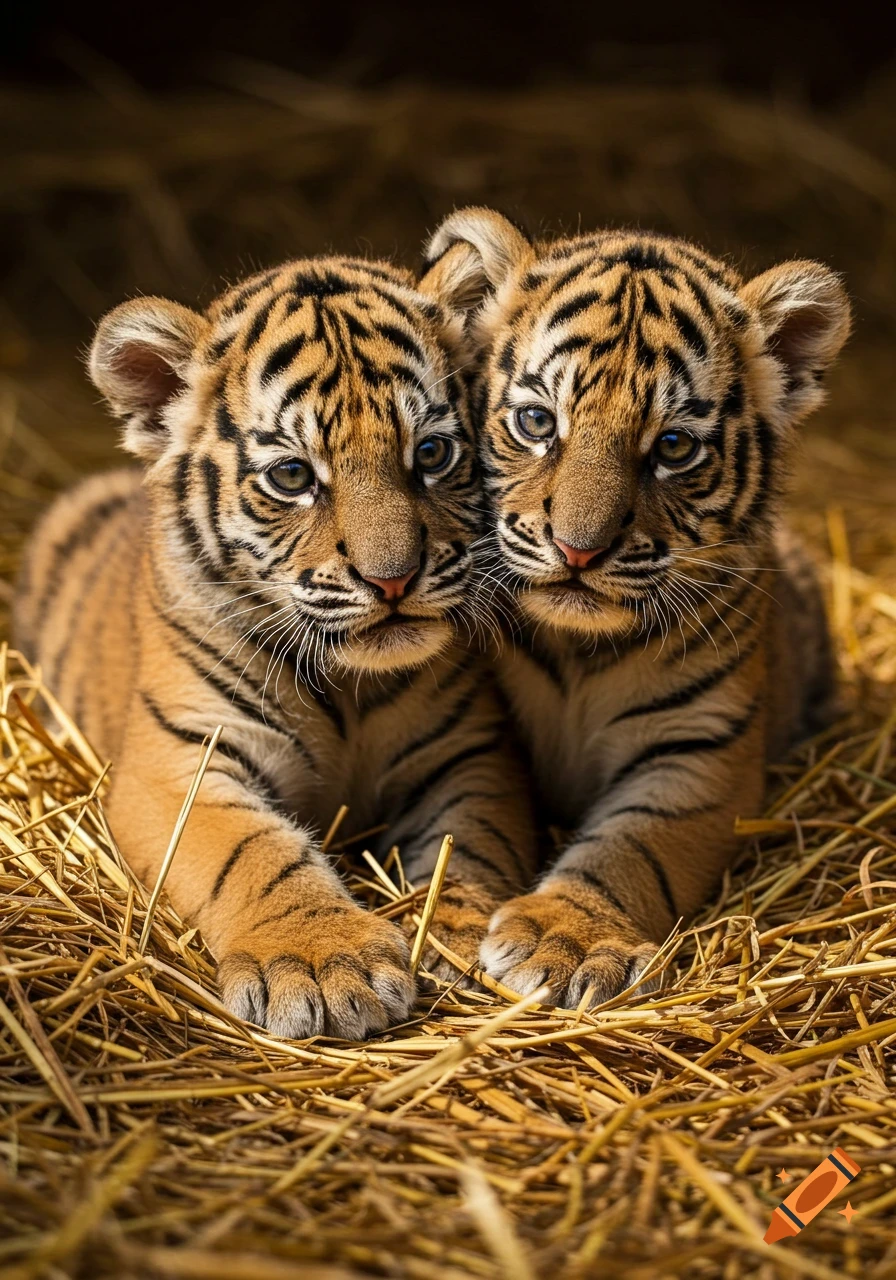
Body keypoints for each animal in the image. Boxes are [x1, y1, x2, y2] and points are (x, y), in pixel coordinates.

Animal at [14, 254, 537, 1039]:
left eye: (434, 452)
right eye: (293, 476)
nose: (394, 579)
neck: (350, 683)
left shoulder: (470, 754)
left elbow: (471, 843)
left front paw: (462, 931)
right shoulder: (181, 763)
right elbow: (252, 851)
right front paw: (324, 965)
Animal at [421, 207, 850, 1007]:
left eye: (674, 446)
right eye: (537, 423)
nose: (578, 550)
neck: (578, 648)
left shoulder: (699, 753)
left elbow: (630, 846)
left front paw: (565, 940)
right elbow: (470, 829)